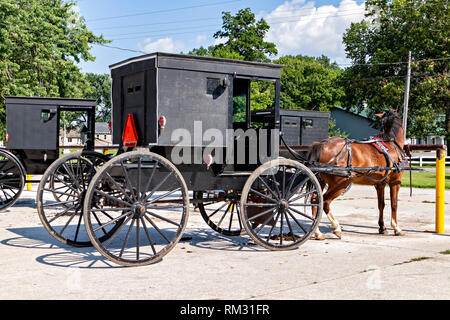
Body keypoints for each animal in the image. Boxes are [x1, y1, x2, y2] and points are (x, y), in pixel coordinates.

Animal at [310, 110, 408, 240]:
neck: (392, 144)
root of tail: (323, 144)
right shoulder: (395, 181)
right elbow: (394, 204)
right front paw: (397, 228)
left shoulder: (380, 184)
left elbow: (381, 204)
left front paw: (382, 227)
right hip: (341, 183)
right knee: (325, 201)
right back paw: (336, 228)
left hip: (321, 181)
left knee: (315, 200)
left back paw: (317, 232)